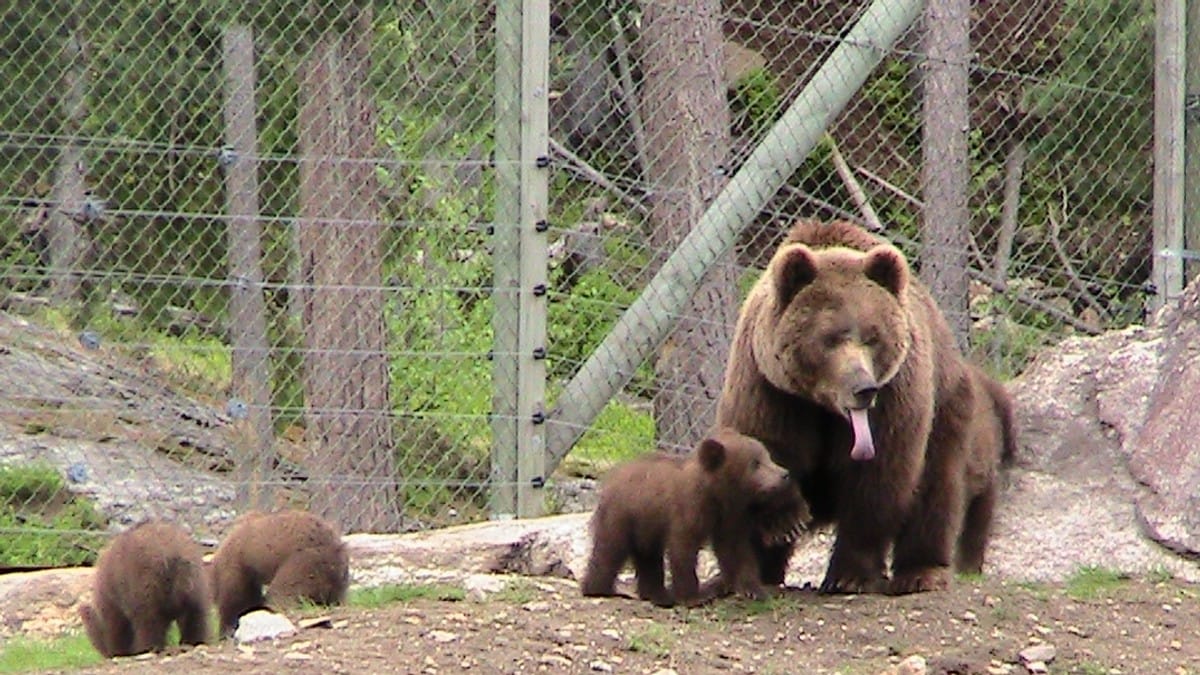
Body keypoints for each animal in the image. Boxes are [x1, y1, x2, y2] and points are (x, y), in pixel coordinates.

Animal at [715, 218, 1008, 590]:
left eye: (873, 337)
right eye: (830, 338)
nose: (863, 388)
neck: (821, 405)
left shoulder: (895, 397)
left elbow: (878, 479)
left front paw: (849, 574)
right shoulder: (769, 389)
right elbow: (765, 448)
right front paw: (782, 525)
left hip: (947, 407)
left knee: (937, 488)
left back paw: (921, 571)